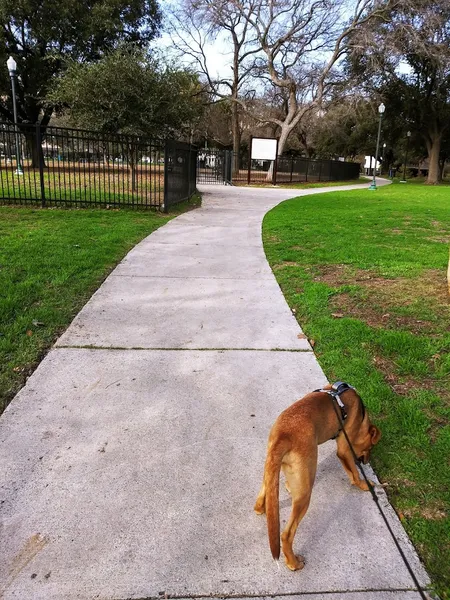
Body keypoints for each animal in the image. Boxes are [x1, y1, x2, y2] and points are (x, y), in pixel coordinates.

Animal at [255, 384, 382, 572]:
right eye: (371, 446)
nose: (366, 461)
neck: (361, 415)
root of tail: (283, 435)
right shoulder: (344, 449)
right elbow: (354, 473)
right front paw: (364, 484)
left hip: (272, 466)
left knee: (263, 492)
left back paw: (263, 505)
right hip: (304, 495)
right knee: (286, 535)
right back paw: (293, 563)